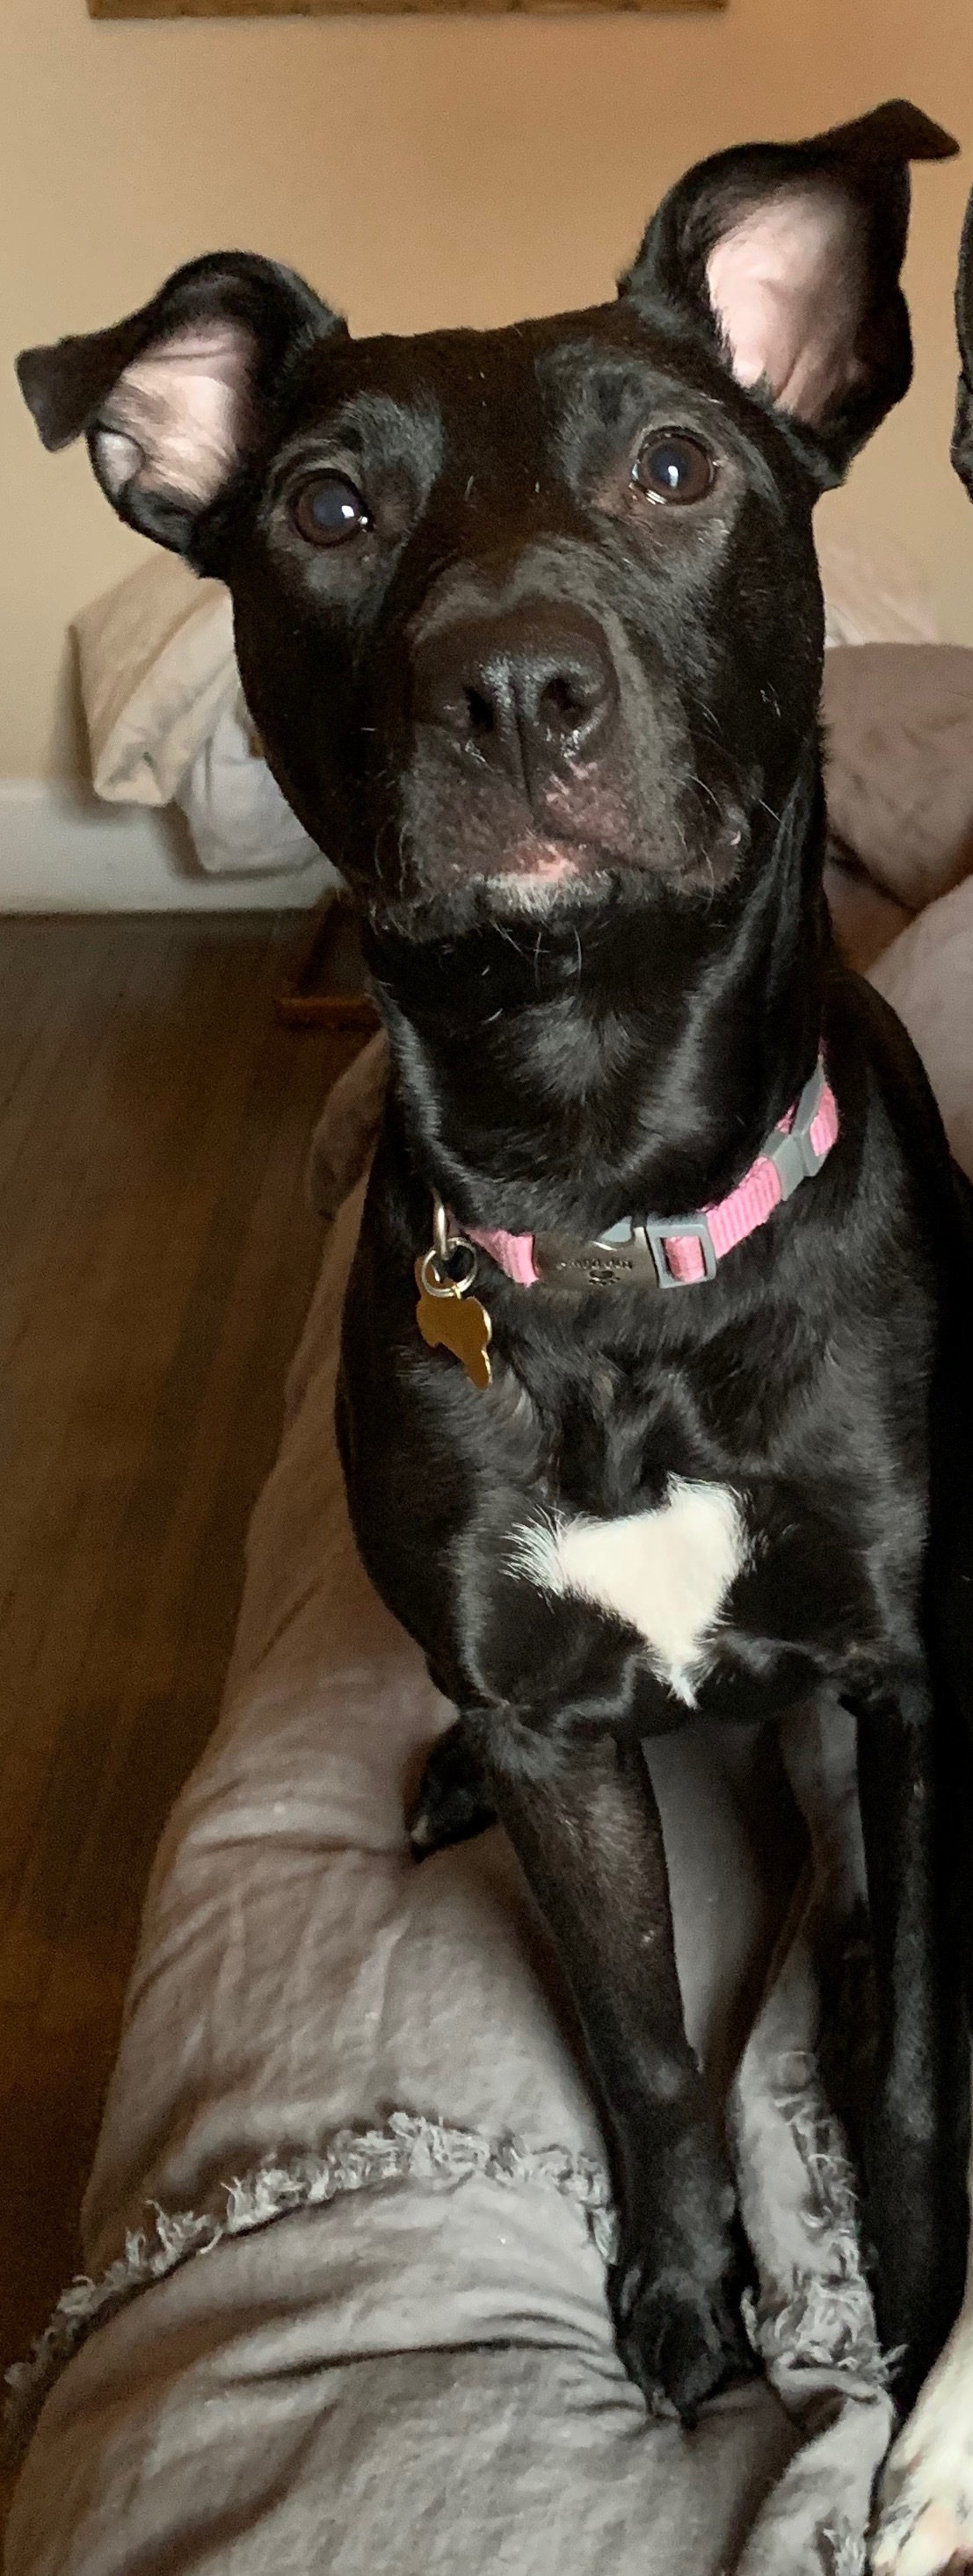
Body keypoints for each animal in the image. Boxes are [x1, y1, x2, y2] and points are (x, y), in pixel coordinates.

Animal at [20, 105, 973, 2431]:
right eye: (325, 508)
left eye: (676, 466)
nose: (517, 684)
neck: (608, 1194)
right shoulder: (559, 1734)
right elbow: (639, 2047)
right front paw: (688, 2290)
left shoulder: (906, 1675)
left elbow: (911, 2048)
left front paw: (913, 2318)